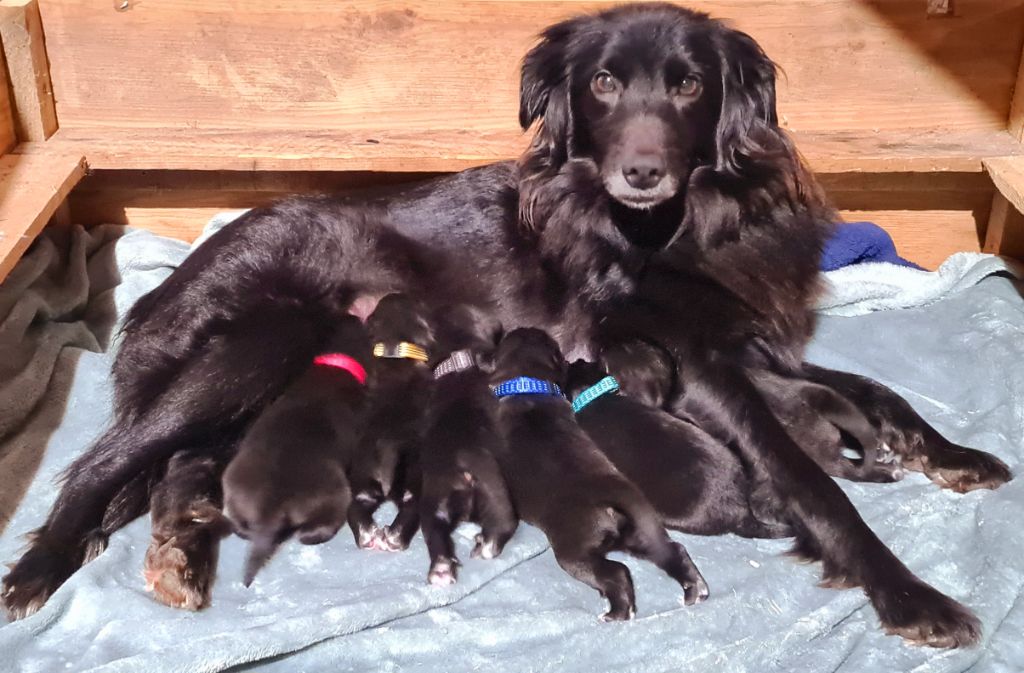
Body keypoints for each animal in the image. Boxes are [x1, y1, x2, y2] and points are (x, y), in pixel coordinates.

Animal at [220, 315, 372, 581]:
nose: (357, 315)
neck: (335, 364)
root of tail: (272, 507)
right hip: (338, 495)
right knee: (321, 526)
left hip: (234, 484)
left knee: (240, 525)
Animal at [348, 292, 436, 553]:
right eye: (419, 304)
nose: (396, 292)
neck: (394, 354)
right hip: (412, 483)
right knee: (411, 509)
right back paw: (394, 539)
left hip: (363, 482)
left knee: (355, 509)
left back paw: (368, 535)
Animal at [415, 305, 516, 581]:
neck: (459, 361)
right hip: (495, 492)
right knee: (503, 523)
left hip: (434, 503)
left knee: (435, 532)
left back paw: (440, 568)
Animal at [491, 327, 708, 618]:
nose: (525, 328)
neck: (529, 387)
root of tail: (614, 499)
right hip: (642, 533)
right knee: (673, 551)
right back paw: (694, 589)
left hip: (576, 553)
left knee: (617, 573)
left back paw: (617, 613)